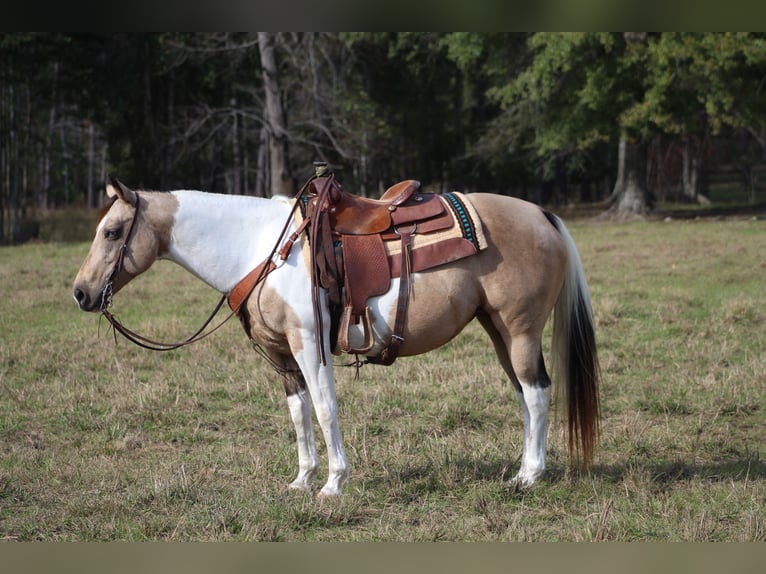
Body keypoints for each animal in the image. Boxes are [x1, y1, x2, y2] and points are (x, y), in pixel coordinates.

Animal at [73, 178, 600, 498]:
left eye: (113, 231)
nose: (81, 292)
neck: (260, 248)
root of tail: (542, 215)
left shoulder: (310, 344)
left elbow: (325, 408)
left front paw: (333, 483)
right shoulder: (281, 355)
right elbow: (299, 413)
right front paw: (302, 479)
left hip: (521, 330)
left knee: (537, 392)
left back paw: (530, 476)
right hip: (497, 330)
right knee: (525, 395)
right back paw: (524, 468)